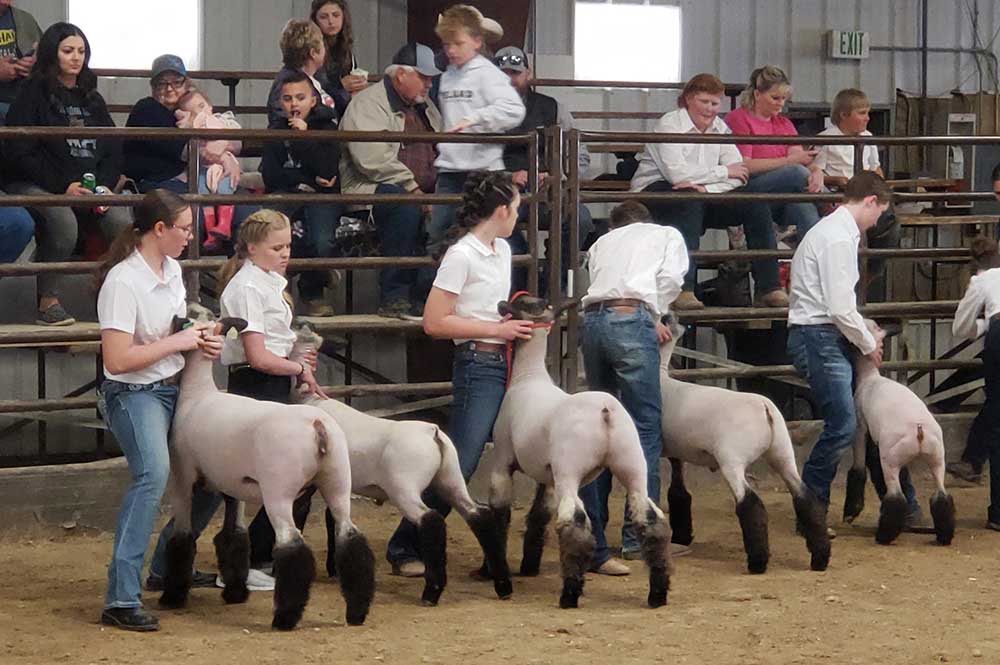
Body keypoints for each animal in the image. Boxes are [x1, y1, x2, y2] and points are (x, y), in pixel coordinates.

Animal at [158, 304, 376, 628]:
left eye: (193, 317)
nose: (183, 310)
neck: (197, 393)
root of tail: (318, 425)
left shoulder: (183, 478)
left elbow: (182, 538)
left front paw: (173, 597)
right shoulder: (232, 485)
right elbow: (234, 537)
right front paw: (235, 593)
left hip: (279, 488)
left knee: (291, 545)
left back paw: (285, 617)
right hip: (338, 480)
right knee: (351, 538)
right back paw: (357, 612)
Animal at [288, 326, 508, 608]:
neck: (310, 398)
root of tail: (432, 432)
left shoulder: (315, 478)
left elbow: (302, 511)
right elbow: (331, 518)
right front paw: (334, 567)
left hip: (404, 486)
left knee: (431, 520)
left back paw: (432, 591)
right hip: (451, 478)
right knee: (479, 516)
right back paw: (502, 584)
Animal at [484, 298, 672, 608]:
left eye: (522, 303)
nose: (500, 303)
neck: (528, 375)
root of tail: (606, 412)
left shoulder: (502, 462)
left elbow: (500, 515)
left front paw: (490, 570)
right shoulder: (547, 476)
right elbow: (538, 517)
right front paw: (529, 566)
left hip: (569, 468)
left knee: (575, 521)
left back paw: (570, 593)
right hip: (632, 462)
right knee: (651, 518)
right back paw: (658, 592)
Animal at [660, 314, 832, 572]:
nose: (668, 316)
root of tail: (765, 408)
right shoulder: (677, 449)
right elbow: (679, 492)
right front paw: (682, 535)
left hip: (732, 458)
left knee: (750, 504)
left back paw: (757, 562)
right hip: (783, 452)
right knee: (805, 498)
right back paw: (820, 558)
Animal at [848, 320, 956, 544]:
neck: (870, 376)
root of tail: (919, 430)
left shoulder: (860, 426)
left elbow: (859, 468)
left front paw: (852, 511)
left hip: (891, 458)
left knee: (896, 498)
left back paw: (883, 536)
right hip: (937, 456)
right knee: (941, 496)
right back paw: (944, 535)